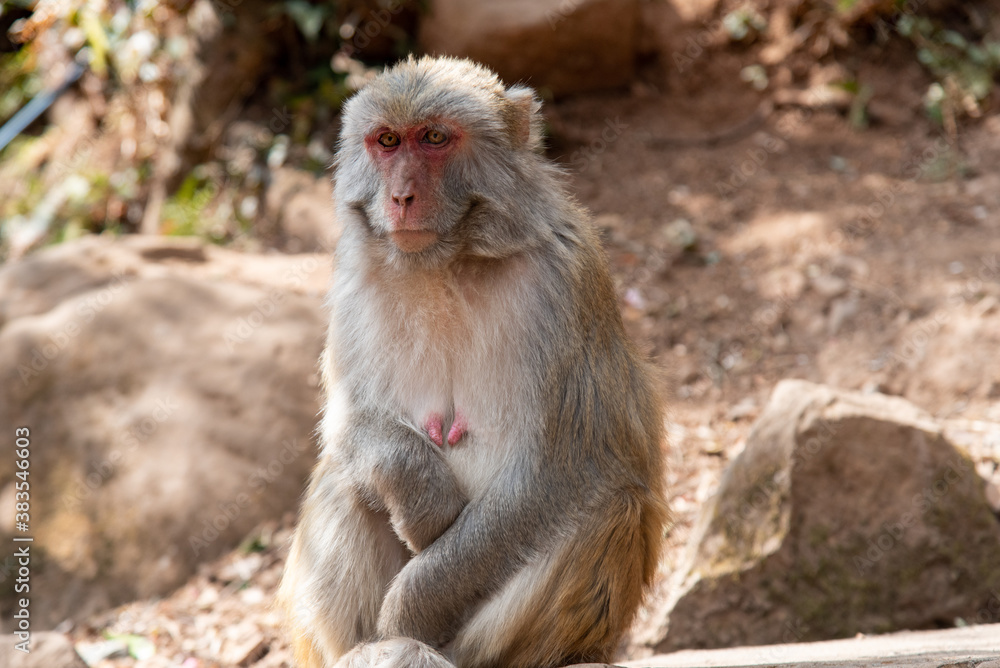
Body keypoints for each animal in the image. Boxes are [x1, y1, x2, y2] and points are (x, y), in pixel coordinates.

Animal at [280, 56, 672, 668]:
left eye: (435, 139)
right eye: (387, 141)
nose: (401, 197)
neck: (446, 261)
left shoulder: (565, 279)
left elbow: (563, 469)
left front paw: (410, 608)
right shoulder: (351, 283)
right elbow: (349, 425)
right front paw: (420, 494)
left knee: (613, 505)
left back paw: (408, 643)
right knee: (344, 474)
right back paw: (363, 647)